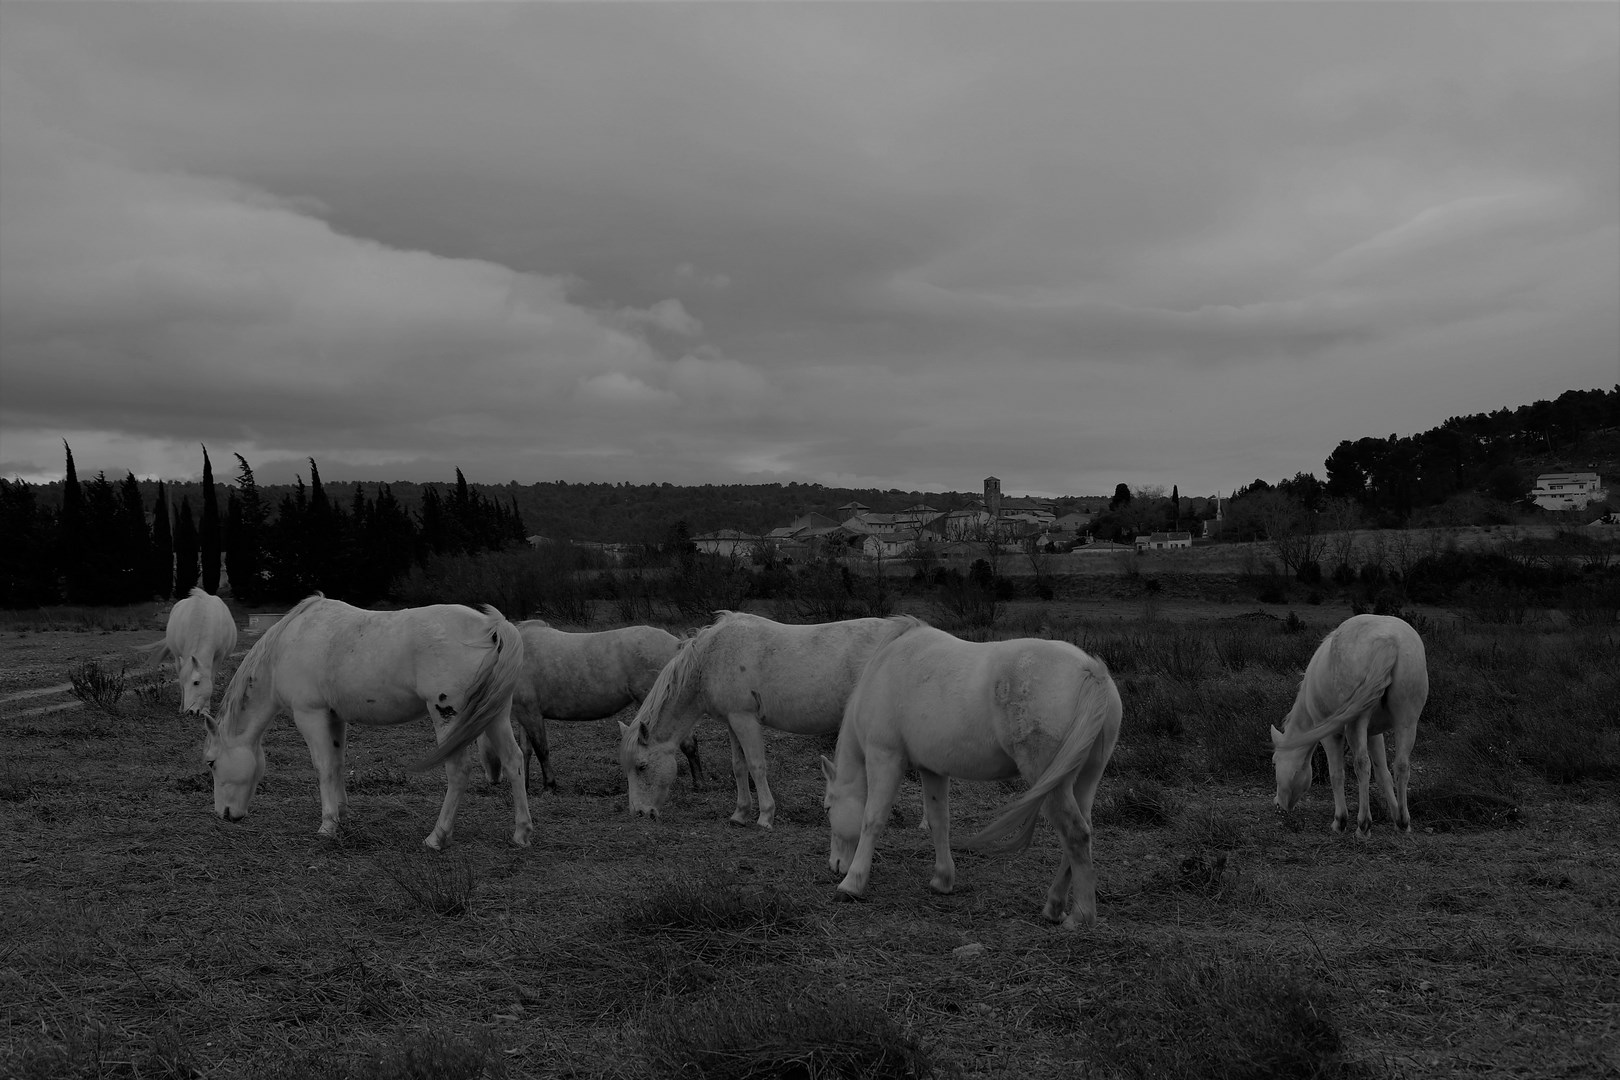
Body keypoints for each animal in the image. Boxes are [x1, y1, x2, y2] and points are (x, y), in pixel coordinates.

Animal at [200, 595, 531, 848]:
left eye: (212, 763)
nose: (224, 814)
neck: (290, 642)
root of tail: (490, 628)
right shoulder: (334, 717)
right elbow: (337, 763)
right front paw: (342, 814)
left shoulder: (310, 715)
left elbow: (323, 767)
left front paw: (327, 826)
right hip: (495, 717)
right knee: (513, 761)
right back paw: (521, 833)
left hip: (448, 717)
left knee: (459, 772)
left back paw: (436, 837)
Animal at [498, 621, 703, 790]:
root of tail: (678, 645)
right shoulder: (524, 714)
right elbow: (525, 750)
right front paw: (524, 785)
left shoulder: (531, 715)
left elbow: (542, 750)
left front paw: (549, 785)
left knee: (687, 742)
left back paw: (697, 783)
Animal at [618, 608, 920, 829]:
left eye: (642, 767)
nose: (640, 813)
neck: (711, 657)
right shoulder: (732, 722)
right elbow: (739, 766)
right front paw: (740, 814)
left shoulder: (745, 720)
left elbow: (756, 766)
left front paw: (765, 816)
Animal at [822, 621, 1127, 932]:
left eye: (828, 808)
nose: (835, 865)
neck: (884, 669)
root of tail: (1092, 672)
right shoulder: (932, 769)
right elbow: (938, 821)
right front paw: (942, 879)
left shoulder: (884, 756)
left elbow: (872, 819)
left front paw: (852, 884)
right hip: (1083, 780)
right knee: (1081, 833)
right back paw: (1054, 906)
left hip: (1052, 784)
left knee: (1075, 834)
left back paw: (1080, 915)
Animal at [1270, 615, 1425, 835]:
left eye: (1274, 762)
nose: (1278, 804)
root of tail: (1387, 640)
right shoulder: (1373, 734)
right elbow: (1383, 774)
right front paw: (1396, 816)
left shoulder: (1330, 735)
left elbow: (1336, 774)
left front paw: (1340, 821)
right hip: (1407, 721)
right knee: (1402, 765)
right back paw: (1403, 822)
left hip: (1355, 725)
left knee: (1362, 764)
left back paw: (1363, 825)